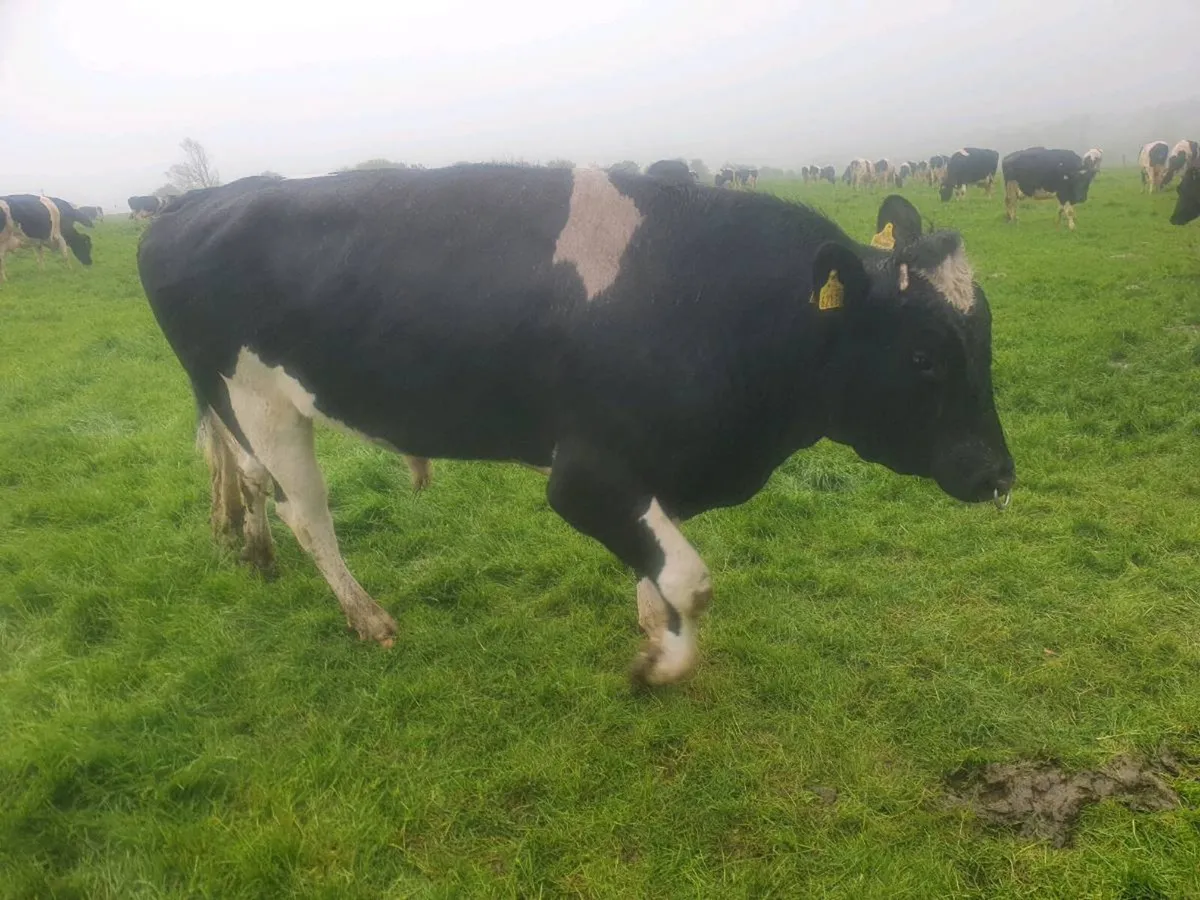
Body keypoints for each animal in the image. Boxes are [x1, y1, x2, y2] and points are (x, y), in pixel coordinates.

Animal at [137, 166, 1015, 687]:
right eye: (924, 356)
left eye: (984, 334)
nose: (999, 474)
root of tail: (189, 205)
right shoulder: (585, 476)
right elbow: (692, 581)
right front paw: (660, 662)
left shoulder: (657, 473)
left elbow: (659, 567)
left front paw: (650, 622)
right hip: (259, 397)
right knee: (307, 512)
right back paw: (368, 618)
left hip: (231, 403)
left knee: (246, 481)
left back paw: (250, 549)